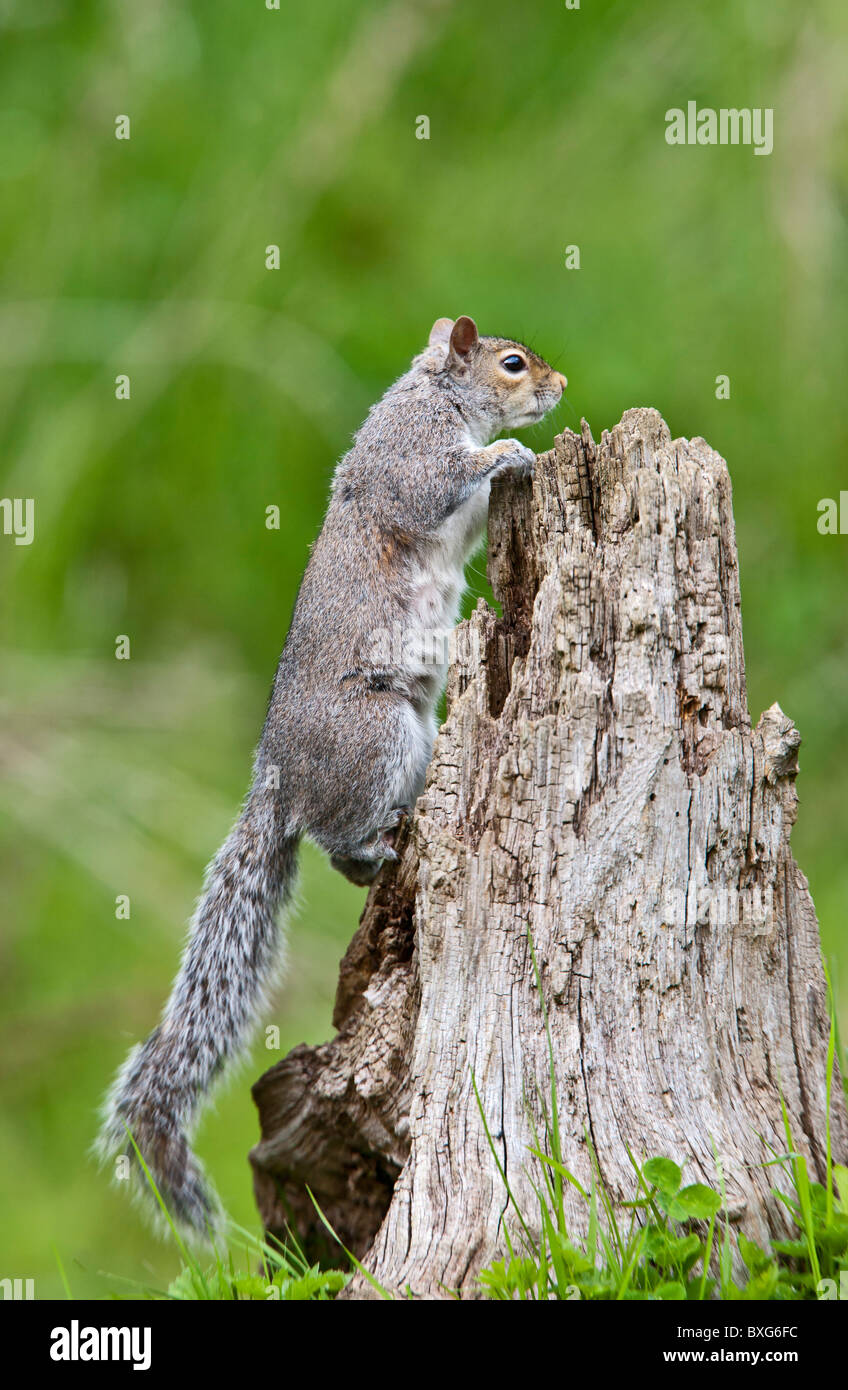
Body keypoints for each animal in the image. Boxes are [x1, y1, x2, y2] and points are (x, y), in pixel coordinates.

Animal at [97, 318, 561, 1239]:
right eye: (511, 363)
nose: (557, 387)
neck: (437, 393)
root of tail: (279, 778)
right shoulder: (409, 457)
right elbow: (435, 485)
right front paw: (507, 457)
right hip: (377, 736)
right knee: (337, 840)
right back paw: (377, 850)